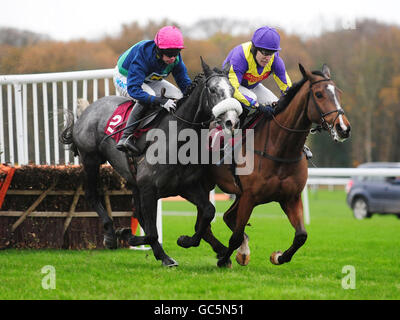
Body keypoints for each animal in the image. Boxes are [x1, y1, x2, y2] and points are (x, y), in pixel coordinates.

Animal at [60, 58, 242, 266]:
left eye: (232, 89)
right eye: (212, 90)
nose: (231, 121)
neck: (177, 138)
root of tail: (87, 110)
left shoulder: (186, 186)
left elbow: (209, 211)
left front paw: (186, 241)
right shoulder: (148, 187)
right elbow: (153, 231)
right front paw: (126, 235)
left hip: (131, 178)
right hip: (90, 159)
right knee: (91, 195)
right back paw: (111, 236)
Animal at [180, 63, 352, 268]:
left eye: (339, 93)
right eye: (319, 94)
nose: (343, 128)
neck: (280, 150)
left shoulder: (290, 197)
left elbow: (301, 235)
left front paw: (278, 256)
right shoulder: (249, 196)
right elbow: (235, 237)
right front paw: (225, 258)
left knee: (225, 217)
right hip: (206, 184)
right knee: (206, 223)